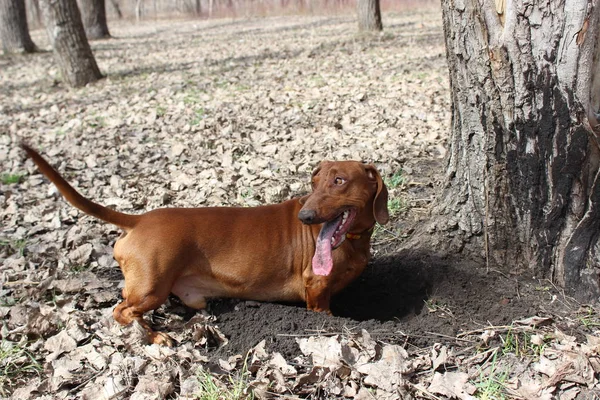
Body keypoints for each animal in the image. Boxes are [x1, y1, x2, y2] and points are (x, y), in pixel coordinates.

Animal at [21, 145, 390, 346]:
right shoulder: (316, 292)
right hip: (151, 287)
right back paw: (154, 336)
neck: (353, 241)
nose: (305, 215)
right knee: (121, 311)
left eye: (339, 180)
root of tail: (139, 220)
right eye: (313, 183)